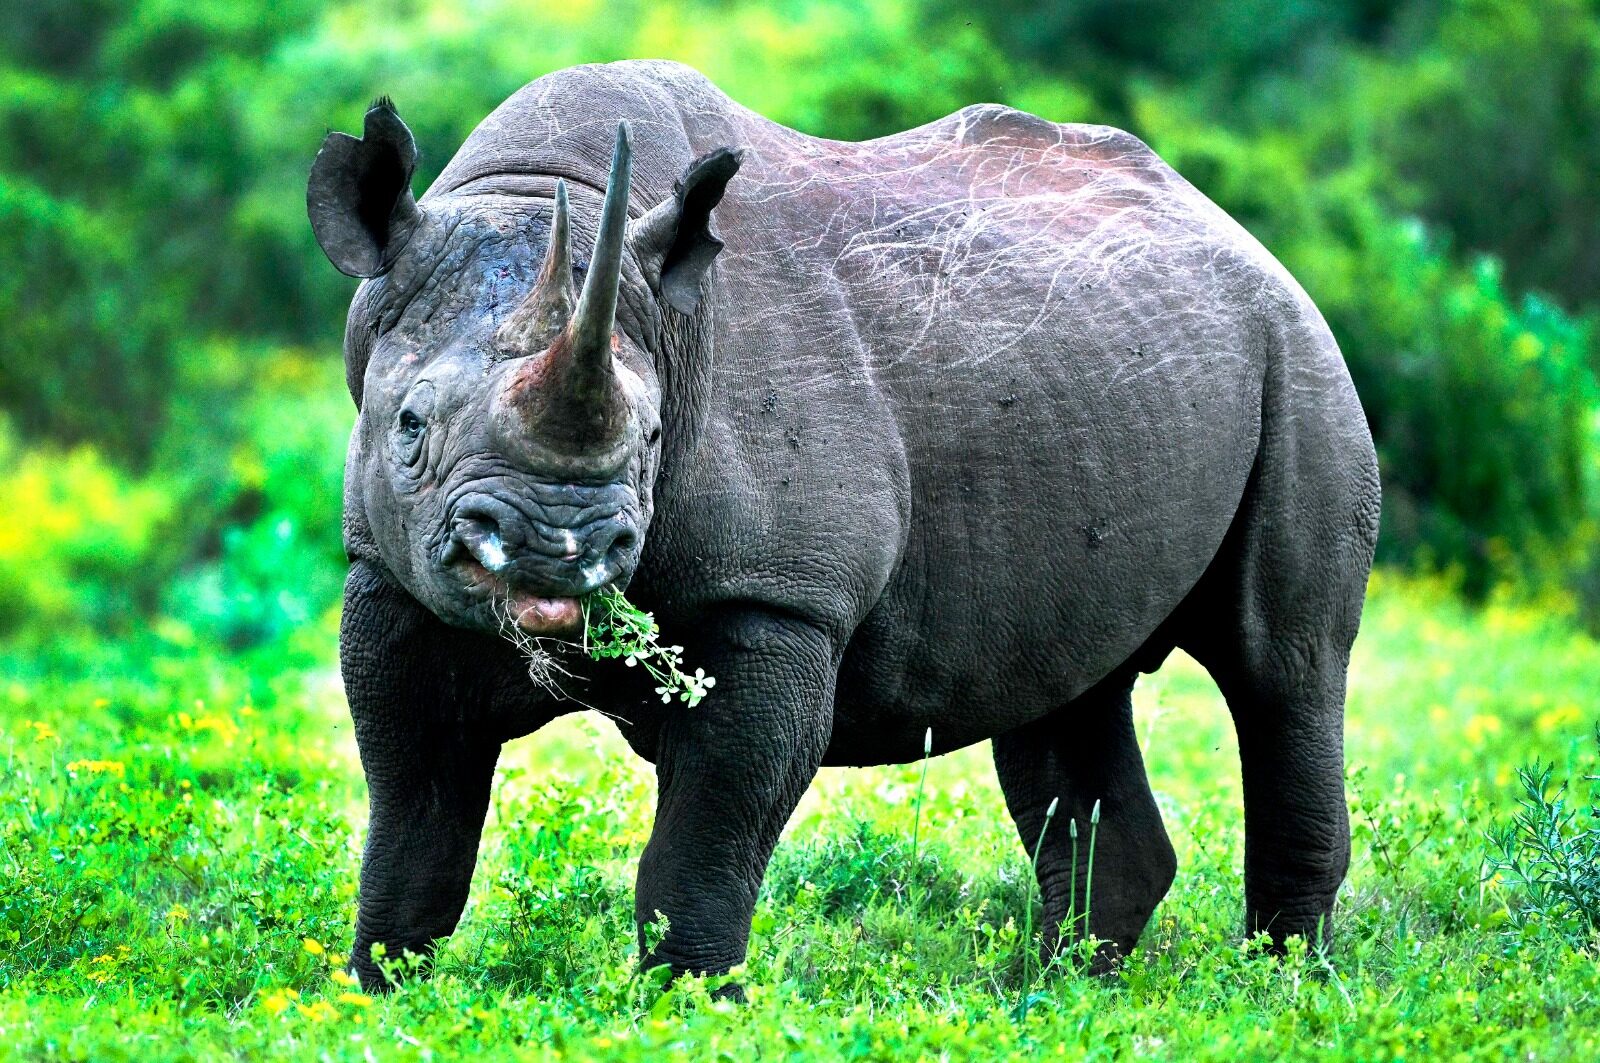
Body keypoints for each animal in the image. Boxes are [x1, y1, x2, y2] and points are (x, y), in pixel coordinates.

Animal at [307, 60, 1379, 991]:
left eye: (652, 437)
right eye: (408, 427)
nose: (556, 545)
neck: (534, 193)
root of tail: (1239, 233)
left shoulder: (782, 600)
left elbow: (707, 840)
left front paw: (688, 1008)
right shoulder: (387, 574)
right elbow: (414, 816)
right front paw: (380, 995)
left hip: (1300, 354)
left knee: (1281, 666)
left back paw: (1284, 991)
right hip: (1121, 372)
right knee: (1067, 692)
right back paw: (1056, 996)